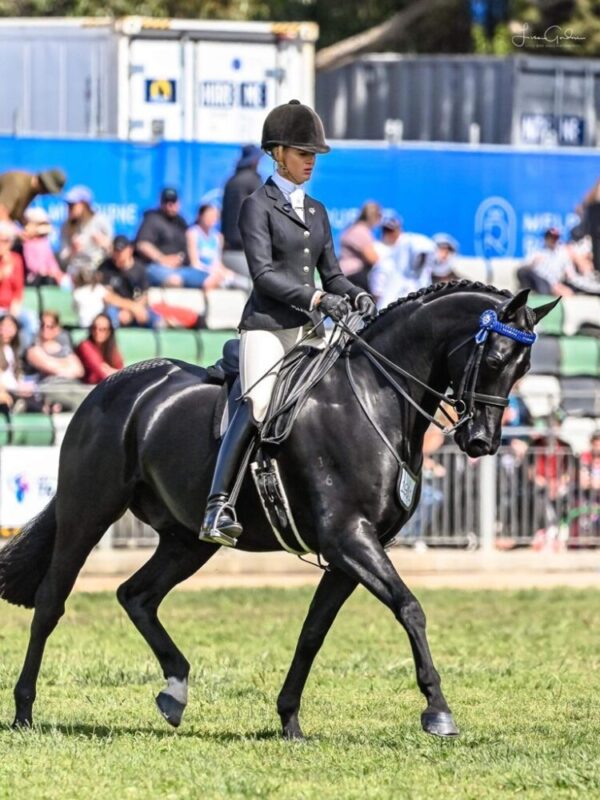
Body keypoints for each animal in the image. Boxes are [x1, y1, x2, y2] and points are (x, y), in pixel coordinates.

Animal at [0, 282, 556, 736]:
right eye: (494, 357)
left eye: (523, 367)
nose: (481, 441)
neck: (373, 399)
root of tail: (114, 387)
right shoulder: (349, 538)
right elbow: (409, 608)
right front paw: (438, 710)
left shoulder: (349, 552)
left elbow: (313, 632)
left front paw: (289, 719)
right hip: (88, 513)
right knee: (52, 601)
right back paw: (25, 711)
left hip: (187, 541)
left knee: (136, 595)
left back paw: (175, 690)